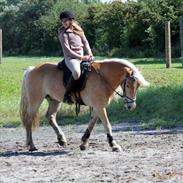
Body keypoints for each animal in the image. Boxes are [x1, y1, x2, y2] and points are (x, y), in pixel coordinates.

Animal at [19, 58, 149, 152]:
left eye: (137, 86)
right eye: (128, 85)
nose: (131, 106)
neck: (103, 78)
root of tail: (31, 70)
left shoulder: (97, 107)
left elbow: (92, 124)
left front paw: (84, 143)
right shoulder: (100, 106)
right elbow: (107, 125)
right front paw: (114, 145)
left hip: (54, 100)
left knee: (50, 117)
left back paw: (61, 139)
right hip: (35, 101)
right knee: (29, 120)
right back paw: (31, 145)